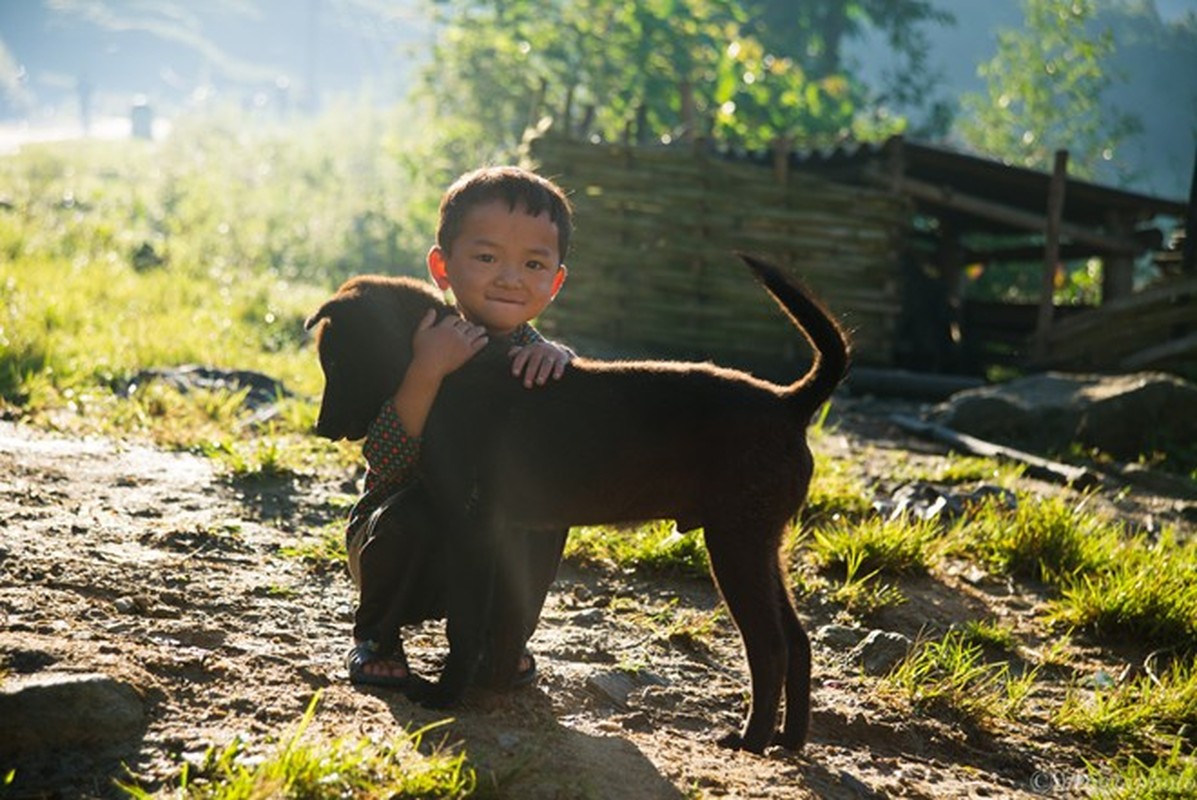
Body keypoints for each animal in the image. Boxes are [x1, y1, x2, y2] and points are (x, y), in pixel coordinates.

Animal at [308, 255, 852, 752]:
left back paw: (751, 740)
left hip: (737, 540)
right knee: (798, 640)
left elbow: (467, 621)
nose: (321, 428)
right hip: (761, 541)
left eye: (336, 362)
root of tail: (789, 403)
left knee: (771, 645)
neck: (452, 372)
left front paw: (448, 695)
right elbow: (503, 619)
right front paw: (492, 684)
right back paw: (790, 739)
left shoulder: (473, 527)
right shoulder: (504, 530)